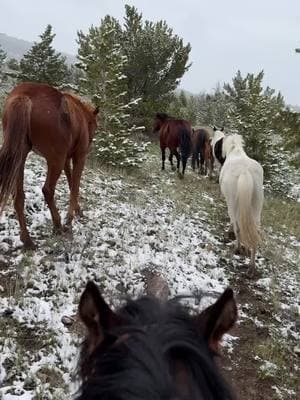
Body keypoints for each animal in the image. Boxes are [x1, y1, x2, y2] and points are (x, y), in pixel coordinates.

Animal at [0, 82, 99, 250]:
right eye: (94, 125)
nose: (91, 143)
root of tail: (24, 97)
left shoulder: (66, 159)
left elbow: (71, 181)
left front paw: (78, 211)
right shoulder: (79, 157)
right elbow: (75, 185)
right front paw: (69, 219)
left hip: (20, 154)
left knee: (18, 196)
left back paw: (27, 240)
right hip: (54, 160)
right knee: (47, 190)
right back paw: (57, 224)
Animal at [219, 134, 264, 272]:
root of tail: (245, 171)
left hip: (232, 203)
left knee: (238, 227)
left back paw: (237, 248)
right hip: (256, 208)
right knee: (256, 232)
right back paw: (252, 265)